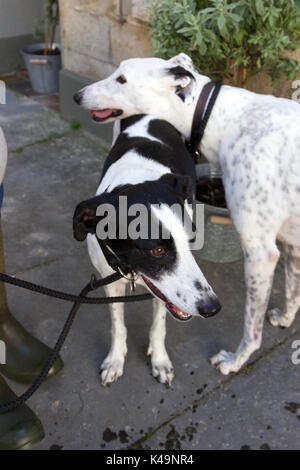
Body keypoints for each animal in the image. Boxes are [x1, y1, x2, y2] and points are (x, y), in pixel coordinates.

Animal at [72, 114, 220, 386]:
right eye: (158, 251)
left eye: (192, 239)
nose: (212, 308)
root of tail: (148, 115)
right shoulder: (110, 282)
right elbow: (117, 324)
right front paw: (115, 359)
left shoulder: (163, 292)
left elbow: (158, 325)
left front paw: (159, 360)